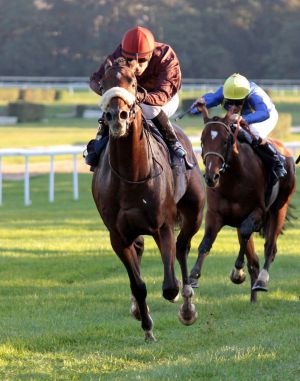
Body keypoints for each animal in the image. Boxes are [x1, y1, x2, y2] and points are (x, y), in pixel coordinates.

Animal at [91, 60, 206, 340]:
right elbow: (138, 284)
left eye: (133, 83)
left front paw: (179, 302)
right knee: (142, 247)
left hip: (194, 212)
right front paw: (147, 326)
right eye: (103, 84)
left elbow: (170, 285)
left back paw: (187, 306)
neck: (131, 174)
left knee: (182, 247)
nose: (117, 116)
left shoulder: (162, 226)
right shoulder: (118, 236)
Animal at [190, 105, 296, 302]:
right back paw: (253, 299)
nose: (211, 177)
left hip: (279, 209)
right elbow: (207, 241)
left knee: (270, 247)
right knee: (253, 260)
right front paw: (193, 276)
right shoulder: (215, 214)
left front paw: (237, 271)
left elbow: (247, 234)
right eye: (202, 140)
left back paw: (261, 281)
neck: (233, 179)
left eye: (225, 141)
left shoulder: (258, 212)